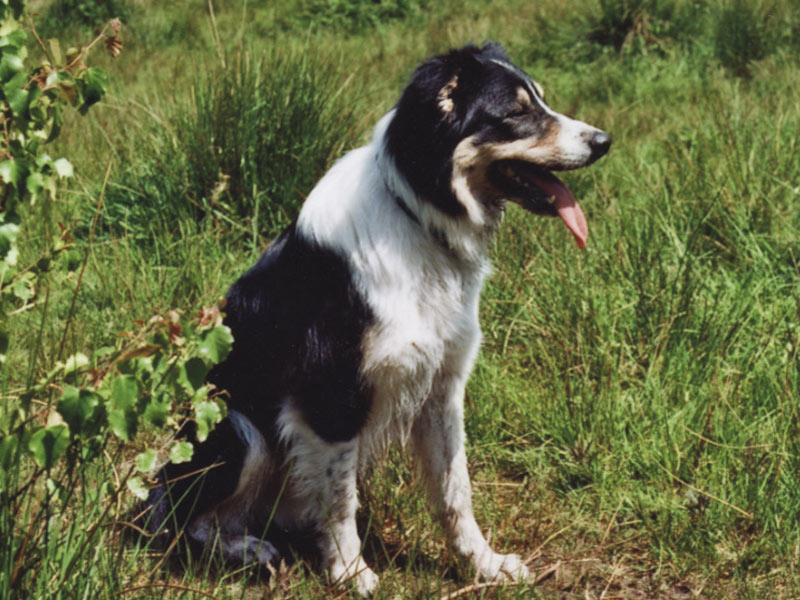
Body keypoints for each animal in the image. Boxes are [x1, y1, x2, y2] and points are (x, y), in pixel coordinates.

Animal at [147, 43, 608, 596]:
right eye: (517, 113)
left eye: (540, 99)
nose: (604, 142)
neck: (418, 215)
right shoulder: (331, 395)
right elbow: (340, 499)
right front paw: (351, 573)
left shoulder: (441, 387)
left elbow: (456, 491)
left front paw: (483, 564)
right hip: (236, 430)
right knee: (187, 519)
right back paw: (247, 550)